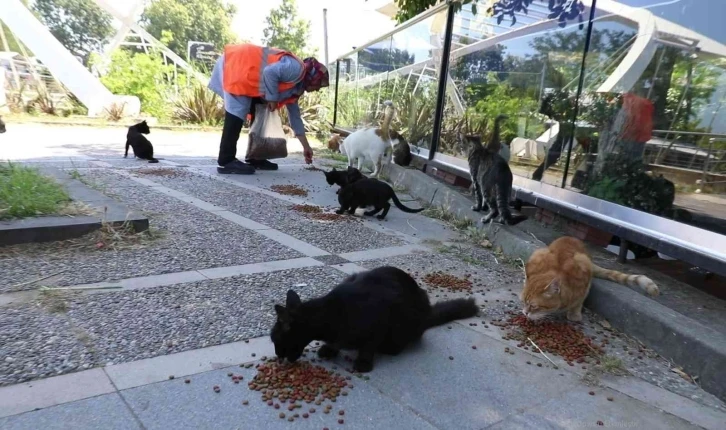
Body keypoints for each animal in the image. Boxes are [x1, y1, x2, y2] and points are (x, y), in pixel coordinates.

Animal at [520, 235, 664, 322]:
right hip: (539, 253)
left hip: (584, 259)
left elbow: (579, 300)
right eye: (523, 302)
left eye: (533, 306)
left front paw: (574, 314)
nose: (525, 313)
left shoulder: (585, 278)